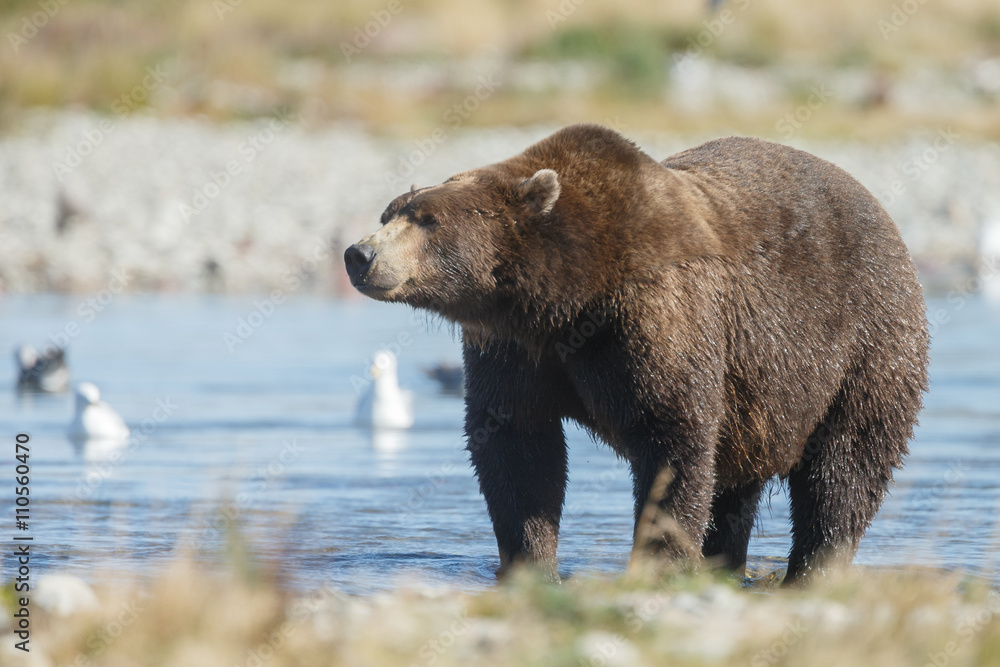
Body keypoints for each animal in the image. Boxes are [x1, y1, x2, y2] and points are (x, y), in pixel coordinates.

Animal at [344, 124, 929, 585]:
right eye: (390, 211)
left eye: (427, 219)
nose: (359, 253)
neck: (564, 296)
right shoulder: (514, 348)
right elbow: (516, 444)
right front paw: (530, 562)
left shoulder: (658, 315)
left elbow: (672, 435)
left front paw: (660, 561)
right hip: (760, 398)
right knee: (735, 486)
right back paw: (726, 565)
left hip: (862, 341)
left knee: (844, 466)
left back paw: (811, 569)